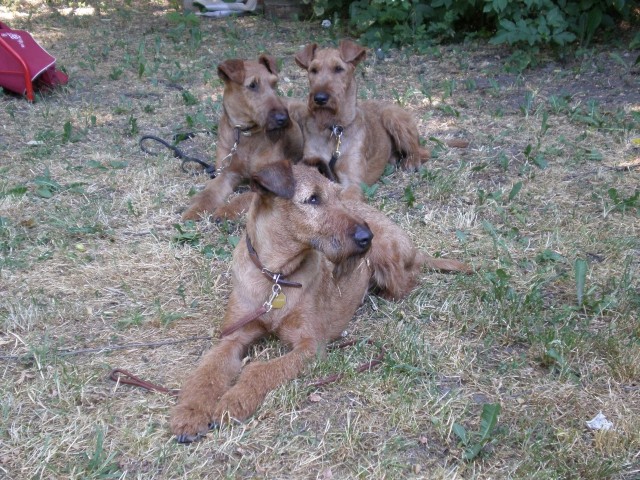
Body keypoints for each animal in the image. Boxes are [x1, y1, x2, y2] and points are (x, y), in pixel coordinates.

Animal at [170, 161, 470, 442]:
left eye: (337, 195)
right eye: (313, 199)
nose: (366, 237)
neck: (276, 277)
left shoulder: (310, 345)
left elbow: (260, 370)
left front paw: (234, 400)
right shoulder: (233, 337)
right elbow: (207, 373)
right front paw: (190, 413)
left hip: (389, 262)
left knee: (410, 277)